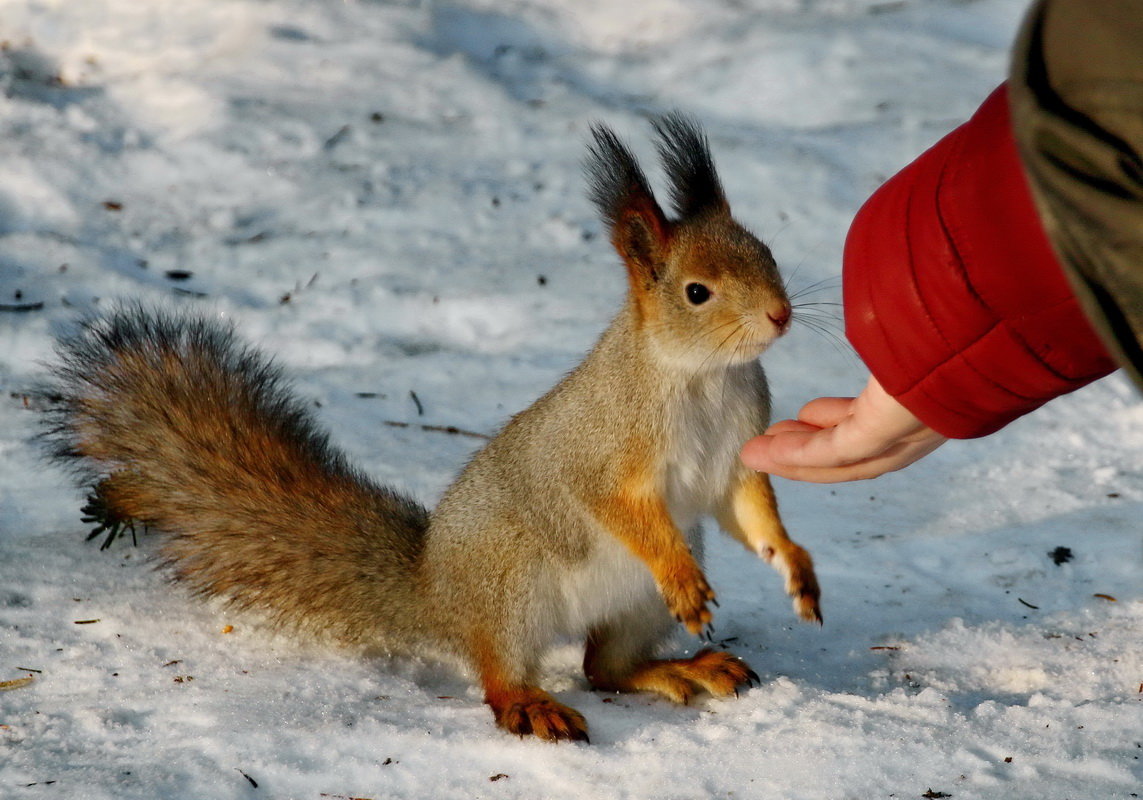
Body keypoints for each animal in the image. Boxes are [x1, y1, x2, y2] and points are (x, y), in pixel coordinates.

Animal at [40, 112, 818, 745]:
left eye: (767, 253)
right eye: (696, 293)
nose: (780, 315)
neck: (701, 377)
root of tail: (435, 590)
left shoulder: (736, 455)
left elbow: (749, 510)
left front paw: (796, 568)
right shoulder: (602, 451)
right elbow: (616, 505)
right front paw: (683, 577)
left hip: (630, 606)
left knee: (606, 666)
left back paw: (686, 669)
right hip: (510, 588)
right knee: (504, 676)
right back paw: (533, 704)